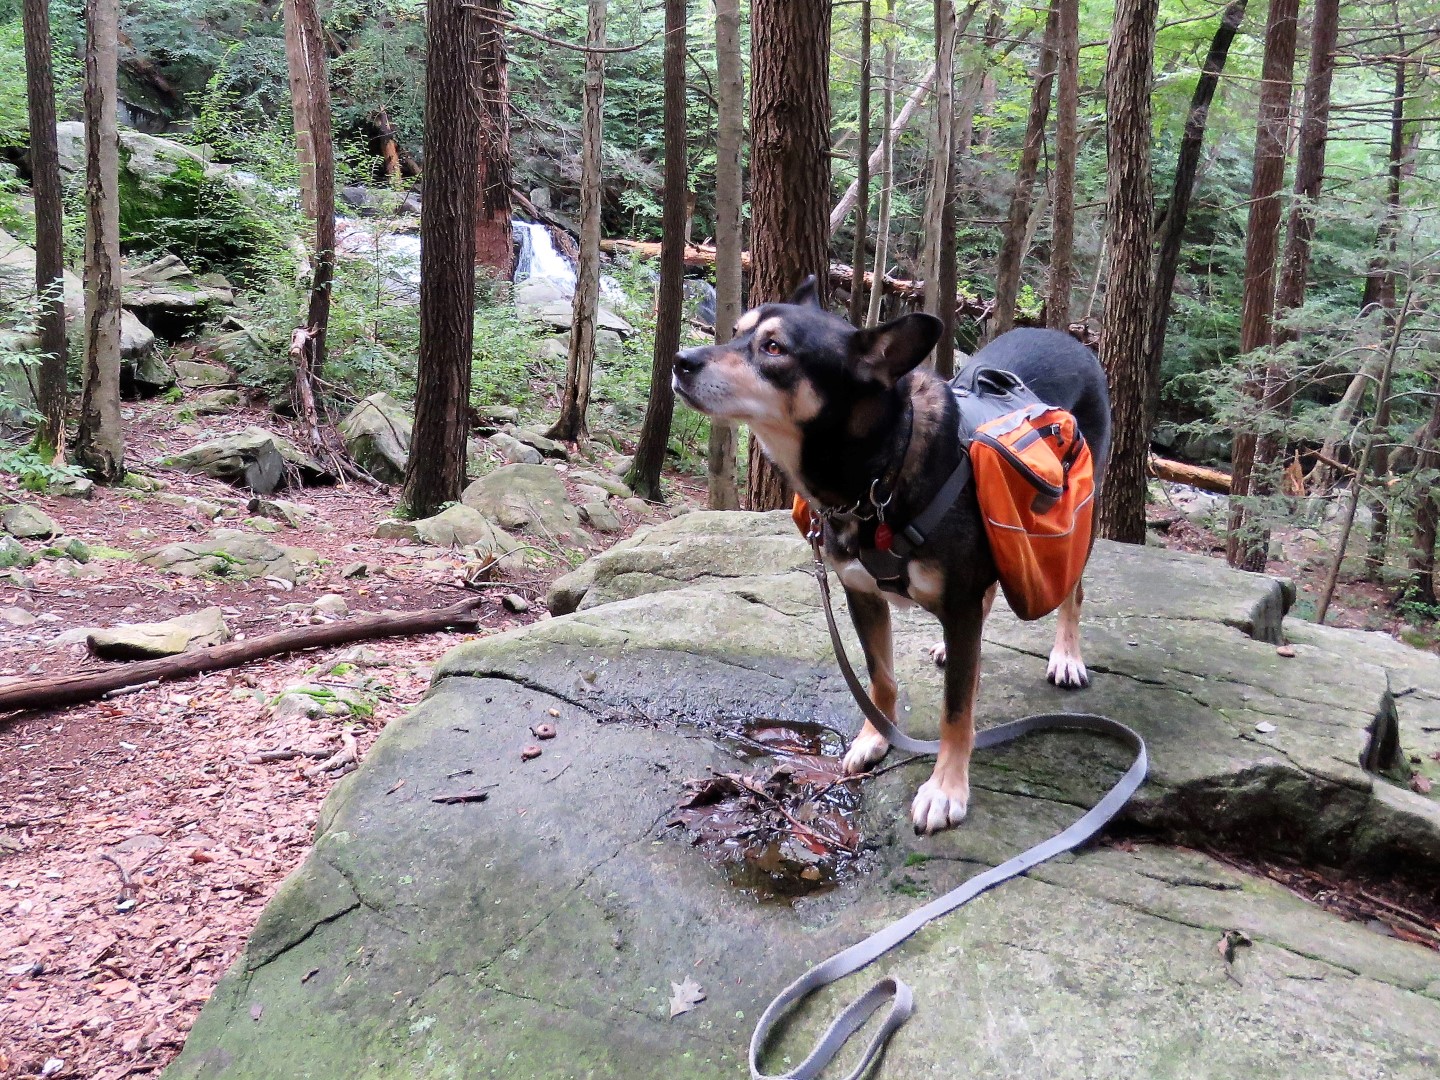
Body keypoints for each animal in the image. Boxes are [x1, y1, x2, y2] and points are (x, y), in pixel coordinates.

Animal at [672, 277, 1111, 834]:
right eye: (736, 332)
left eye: (774, 348)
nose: (680, 360)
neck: (877, 472)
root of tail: (1069, 339)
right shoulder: (861, 593)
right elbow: (880, 678)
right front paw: (876, 736)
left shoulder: (957, 601)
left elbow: (956, 711)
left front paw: (946, 789)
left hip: (1081, 514)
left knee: (1072, 591)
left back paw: (1066, 656)